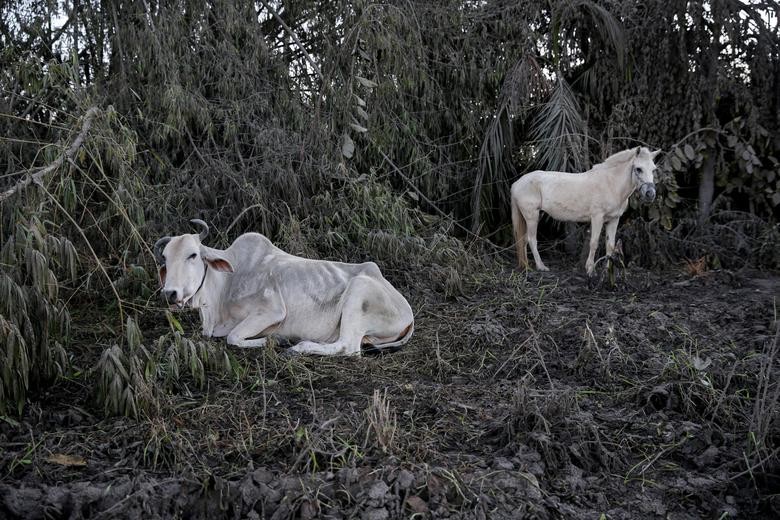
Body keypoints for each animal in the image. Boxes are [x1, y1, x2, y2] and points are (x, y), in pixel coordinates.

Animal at [155, 219, 418, 358]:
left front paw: (274, 340)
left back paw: (299, 347)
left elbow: (233, 337)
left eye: (193, 255)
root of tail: (407, 310)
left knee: (348, 347)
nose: (170, 293)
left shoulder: (271, 311)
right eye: (165, 258)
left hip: (358, 292)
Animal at [512, 146, 660, 274]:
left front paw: (608, 270)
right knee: (531, 239)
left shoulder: (613, 220)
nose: (650, 194)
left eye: (653, 169)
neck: (611, 184)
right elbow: (594, 243)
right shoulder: (597, 217)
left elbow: (610, 245)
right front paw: (590, 269)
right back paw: (541, 266)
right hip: (532, 216)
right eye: (638, 169)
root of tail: (517, 183)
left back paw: (526, 266)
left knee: (523, 240)